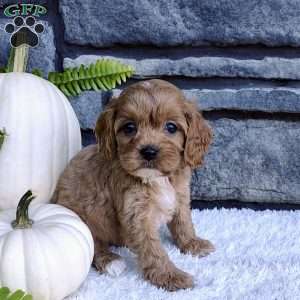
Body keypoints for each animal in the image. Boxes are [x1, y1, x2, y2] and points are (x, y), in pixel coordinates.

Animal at [52, 79, 216, 290]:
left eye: (171, 127)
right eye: (129, 127)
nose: (149, 151)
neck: (156, 178)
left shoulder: (180, 195)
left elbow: (183, 222)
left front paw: (192, 243)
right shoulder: (136, 214)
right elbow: (153, 249)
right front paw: (170, 276)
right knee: (94, 245)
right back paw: (111, 261)